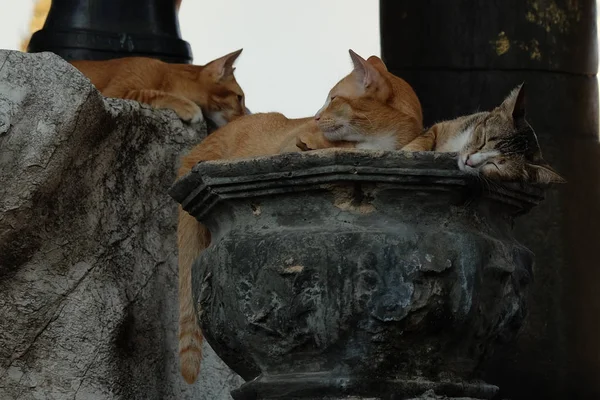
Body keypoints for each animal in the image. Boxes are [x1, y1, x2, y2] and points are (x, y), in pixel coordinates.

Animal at [70, 49, 248, 126]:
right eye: (239, 98)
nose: (246, 116)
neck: (166, 74)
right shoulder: (113, 93)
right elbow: (151, 93)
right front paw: (189, 106)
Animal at [400, 86, 564, 184]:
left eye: (496, 165)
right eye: (484, 139)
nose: (468, 161)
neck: (459, 146)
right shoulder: (442, 126)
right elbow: (424, 138)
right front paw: (408, 152)